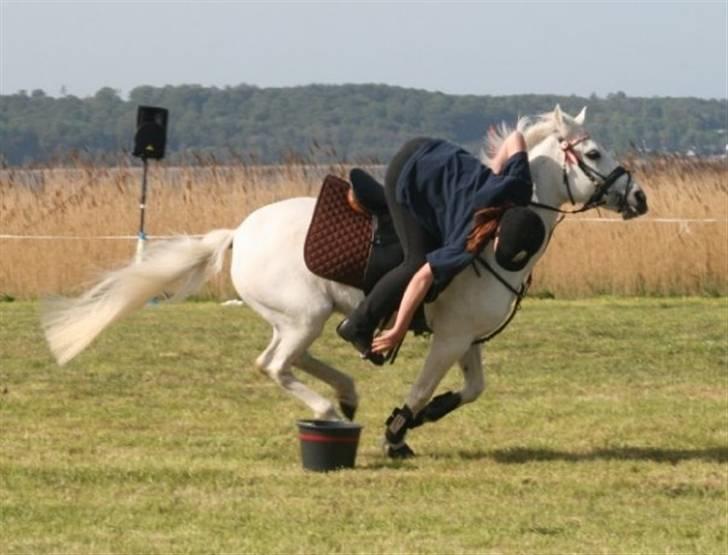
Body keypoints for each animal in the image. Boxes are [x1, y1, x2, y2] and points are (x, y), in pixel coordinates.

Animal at [44, 106, 648, 458]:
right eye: (594, 153)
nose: (639, 198)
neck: (495, 229)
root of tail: (238, 232)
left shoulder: (467, 337)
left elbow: (473, 388)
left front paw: (425, 416)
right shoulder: (450, 336)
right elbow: (424, 385)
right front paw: (398, 432)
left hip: (295, 319)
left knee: (284, 358)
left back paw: (346, 394)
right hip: (303, 316)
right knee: (276, 365)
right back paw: (331, 408)